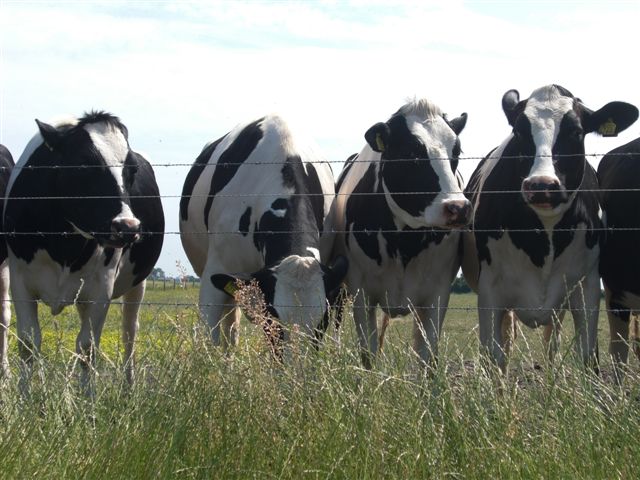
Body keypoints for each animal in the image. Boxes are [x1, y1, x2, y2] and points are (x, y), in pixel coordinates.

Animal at [3, 110, 164, 388]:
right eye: (83, 165)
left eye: (131, 170)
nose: (128, 227)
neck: (63, 244)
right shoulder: (20, 280)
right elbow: (28, 344)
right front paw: (27, 395)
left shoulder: (102, 287)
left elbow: (87, 348)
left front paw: (87, 398)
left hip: (137, 282)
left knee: (129, 331)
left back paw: (129, 387)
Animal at [330, 96, 470, 368]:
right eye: (411, 153)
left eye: (456, 151)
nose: (458, 208)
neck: (404, 244)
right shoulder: (361, 293)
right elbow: (368, 354)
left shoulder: (438, 294)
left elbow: (426, 356)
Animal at [462, 85, 636, 372]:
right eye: (519, 131)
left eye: (576, 132)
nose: (541, 184)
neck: (545, 233)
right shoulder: (489, 292)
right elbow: (493, 358)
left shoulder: (587, 287)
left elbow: (588, 356)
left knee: (551, 341)